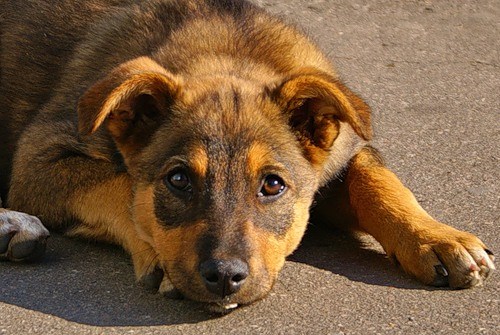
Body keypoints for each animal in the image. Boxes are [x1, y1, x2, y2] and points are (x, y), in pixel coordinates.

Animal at [0, 0, 494, 312]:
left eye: (272, 185)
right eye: (178, 180)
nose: (224, 276)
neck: (229, 50)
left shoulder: (341, 156)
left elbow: (377, 181)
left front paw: (436, 238)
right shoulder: (38, 161)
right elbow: (122, 187)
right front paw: (156, 252)